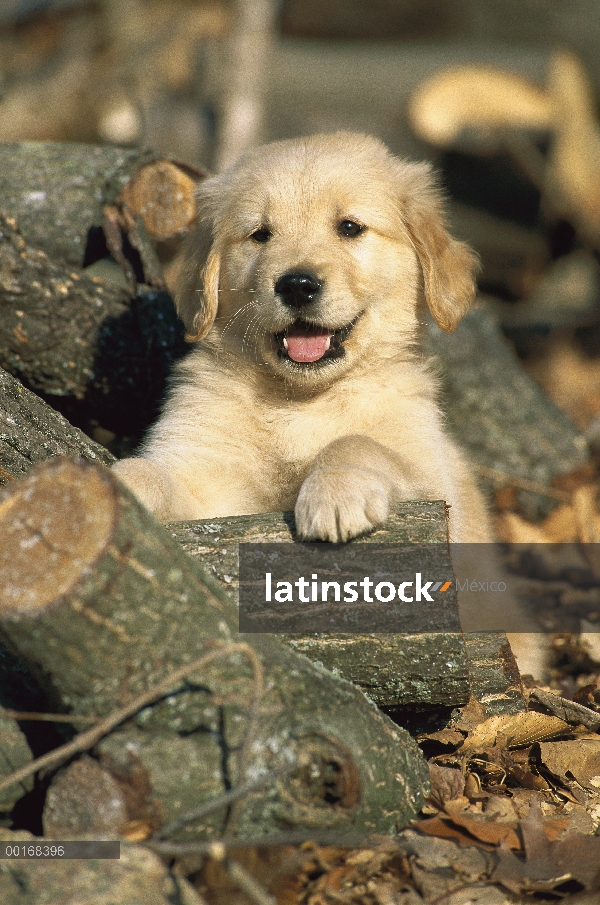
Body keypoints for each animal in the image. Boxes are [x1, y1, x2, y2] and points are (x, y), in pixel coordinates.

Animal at [112, 131, 544, 676]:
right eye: (260, 234)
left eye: (350, 227)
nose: (296, 284)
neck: (301, 398)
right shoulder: (210, 481)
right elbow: (157, 472)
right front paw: (117, 482)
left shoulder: (430, 479)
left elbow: (357, 442)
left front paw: (334, 494)